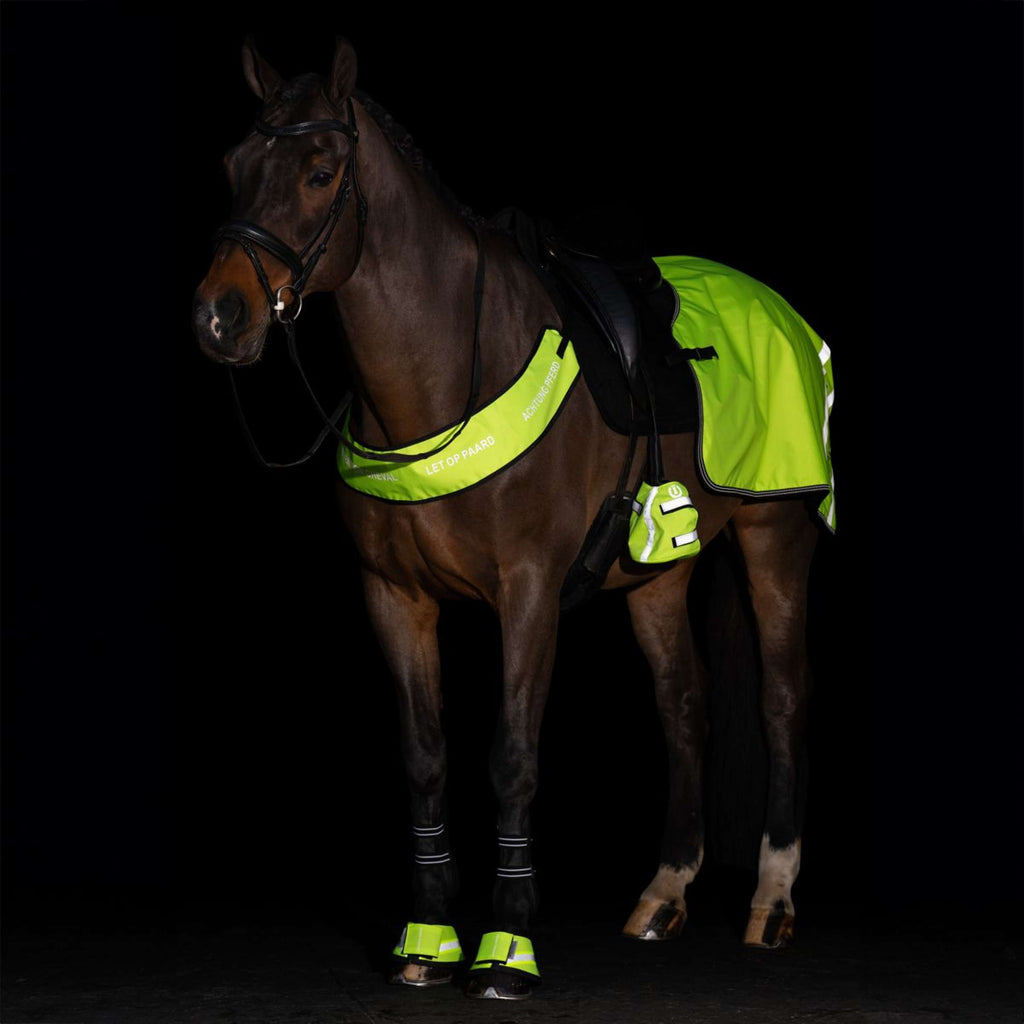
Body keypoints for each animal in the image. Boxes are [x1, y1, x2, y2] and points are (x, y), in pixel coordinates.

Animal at [192, 36, 833, 1000]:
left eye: (319, 171)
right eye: (234, 166)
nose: (218, 315)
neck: (447, 373)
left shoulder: (527, 593)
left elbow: (513, 756)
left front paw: (508, 946)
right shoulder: (395, 597)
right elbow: (425, 757)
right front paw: (426, 941)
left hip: (775, 539)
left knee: (782, 700)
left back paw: (773, 902)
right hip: (656, 575)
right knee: (684, 705)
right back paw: (664, 894)